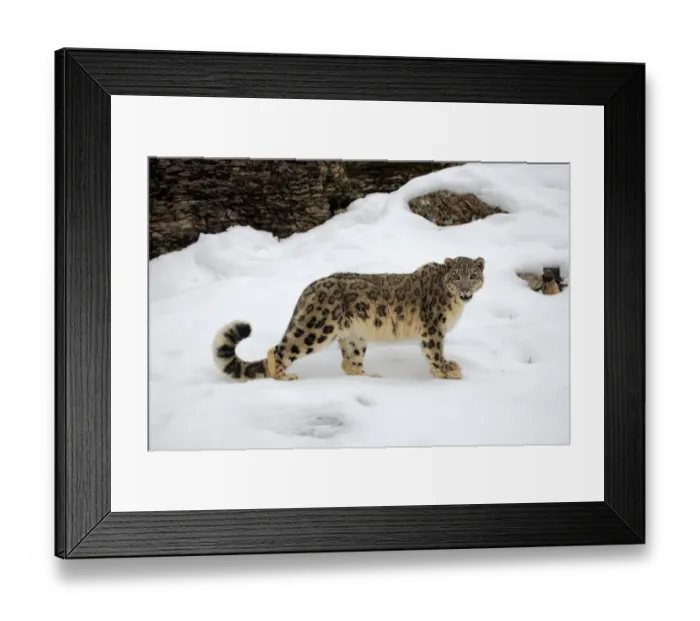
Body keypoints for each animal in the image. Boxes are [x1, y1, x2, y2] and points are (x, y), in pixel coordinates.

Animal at [212, 256, 485, 381]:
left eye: (473, 276)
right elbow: (435, 352)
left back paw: (371, 377)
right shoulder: (433, 328)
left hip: (355, 337)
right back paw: (285, 376)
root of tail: (308, 289)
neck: (456, 305)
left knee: (349, 363)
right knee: (279, 350)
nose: (465, 289)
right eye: (456, 276)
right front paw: (447, 372)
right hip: (316, 330)